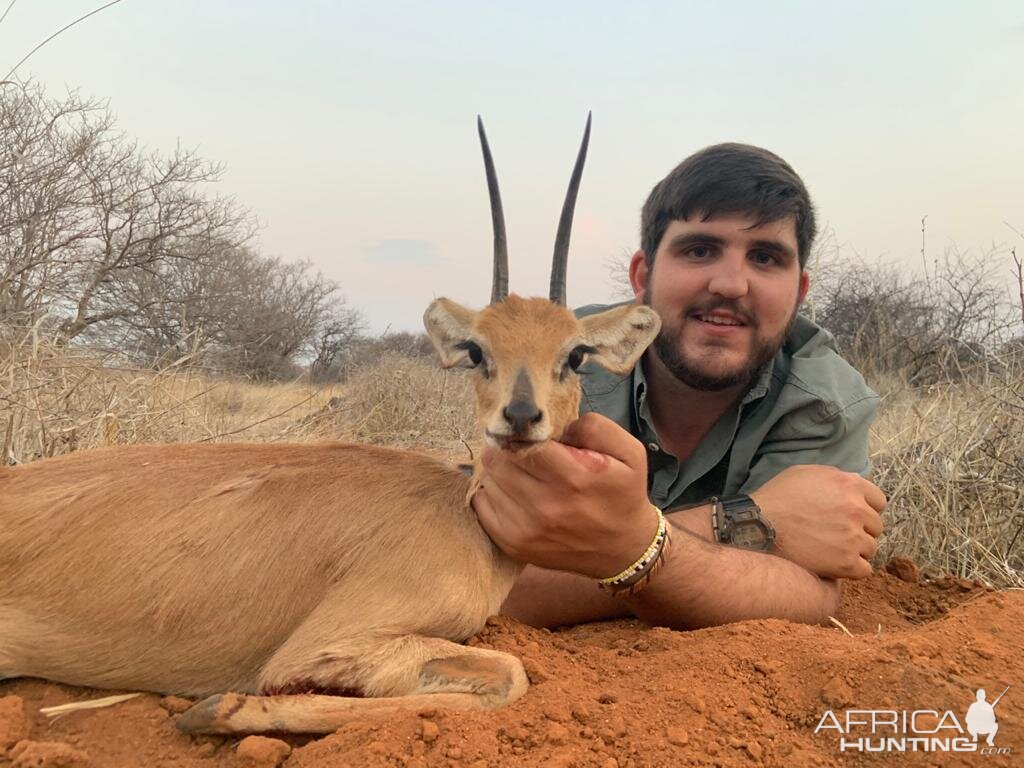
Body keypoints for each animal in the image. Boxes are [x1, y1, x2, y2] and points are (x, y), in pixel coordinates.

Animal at [0, 114, 655, 733]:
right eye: (476, 350)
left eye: (575, 354)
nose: (519, 417)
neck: (463, 514)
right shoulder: (322, 649)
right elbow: (511, 675)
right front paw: (215, 708)